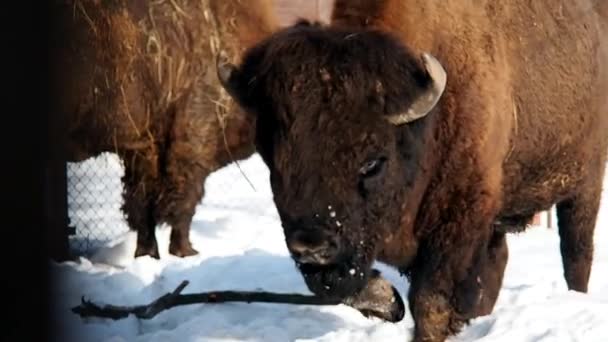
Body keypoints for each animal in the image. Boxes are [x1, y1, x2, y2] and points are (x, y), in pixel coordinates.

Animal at [50, 0, 278, 258]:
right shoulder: (190, 143)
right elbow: (182, 201)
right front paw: (186, 252)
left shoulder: (142, 147)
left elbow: (142, 205)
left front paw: (148, 254)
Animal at [217, 0, 608, 340]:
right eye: (272, 160)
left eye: (373, 162)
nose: (311, 245)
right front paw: (387, 300)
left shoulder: (458, 220)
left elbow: (431, 302)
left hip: (585, 185)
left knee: (576, 254)